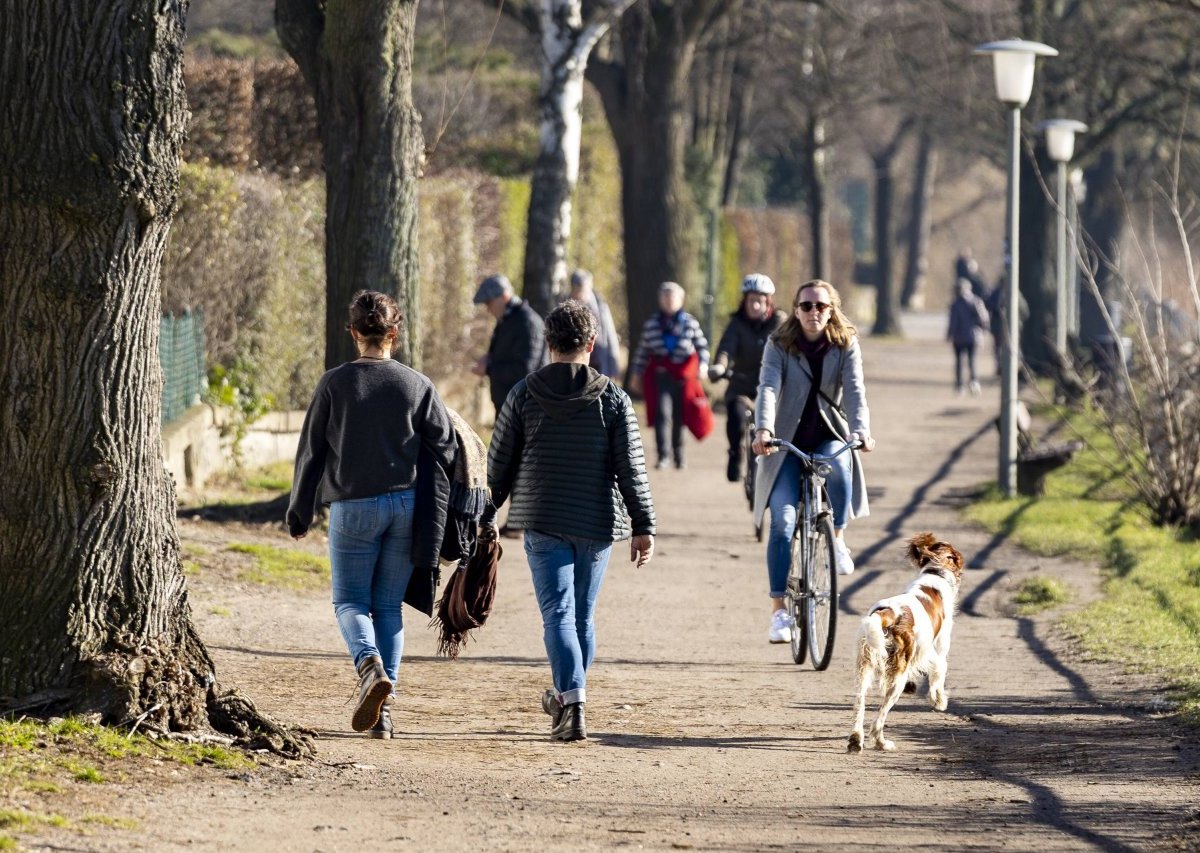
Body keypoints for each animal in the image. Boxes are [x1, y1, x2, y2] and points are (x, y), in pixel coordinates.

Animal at [844, 532, 964, 753]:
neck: (935, 574)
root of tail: (888, 614)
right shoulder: (939, 650)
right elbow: (938, 676)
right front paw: (939, 701)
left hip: (864, 667)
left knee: (860, 703)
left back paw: (856, 741)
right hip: (896, 678)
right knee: (879, 719)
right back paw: (882, 743)